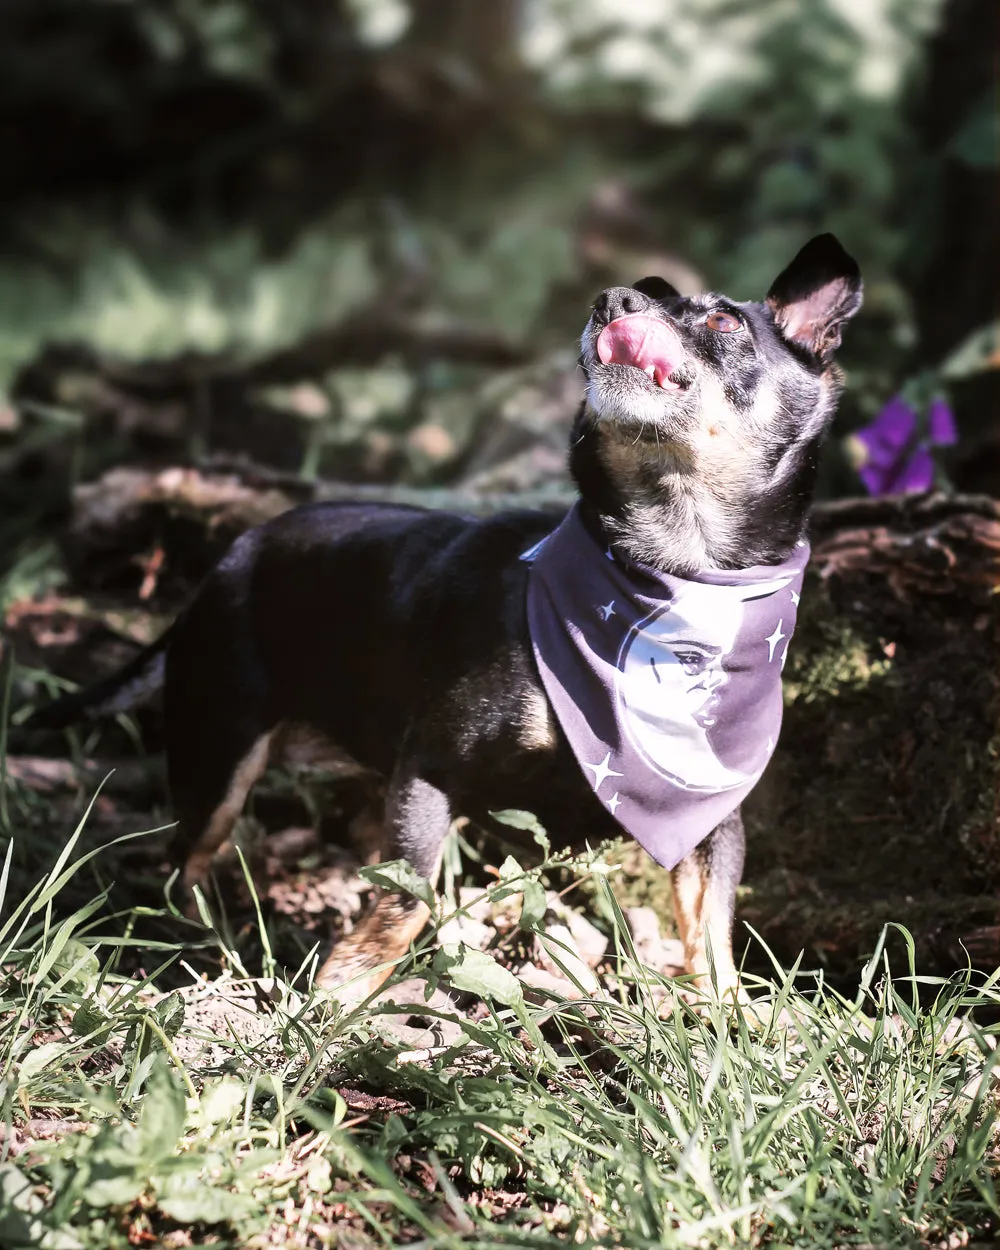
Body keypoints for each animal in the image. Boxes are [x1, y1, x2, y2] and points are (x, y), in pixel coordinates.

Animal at [29, 232, 860, 995]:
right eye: (643, 300)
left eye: (723, 322)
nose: (614, 299)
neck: (670, 571)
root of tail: (229, 559)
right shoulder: (432, 767)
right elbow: (409, 892)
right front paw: (345, 989)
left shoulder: (715, 816)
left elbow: (713, 925)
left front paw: (728, 1016)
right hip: (220, 752)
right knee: (189, 859)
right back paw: (199, 938)